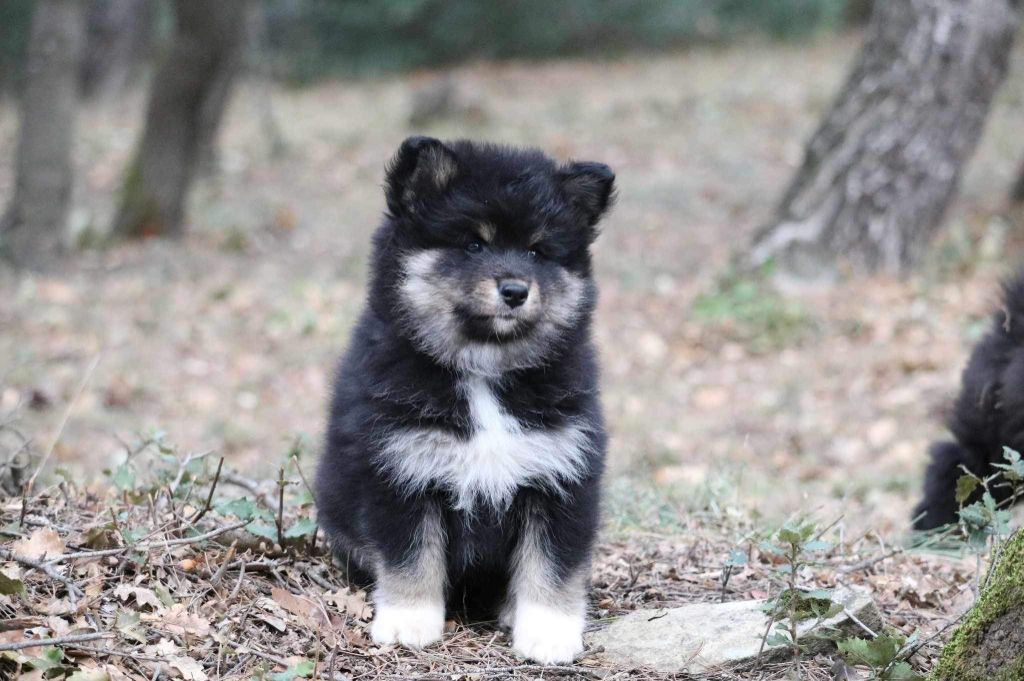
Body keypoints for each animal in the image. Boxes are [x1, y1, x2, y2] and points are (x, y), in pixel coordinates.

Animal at [313, 135, 614, 659]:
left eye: (536, 251)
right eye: (474, 243)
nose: (515, 290)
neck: (483, 370)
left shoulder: (561, 472)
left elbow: (552, 563)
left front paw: (548, 632)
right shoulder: (402, 468)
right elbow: (411, 554)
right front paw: (409, 620)